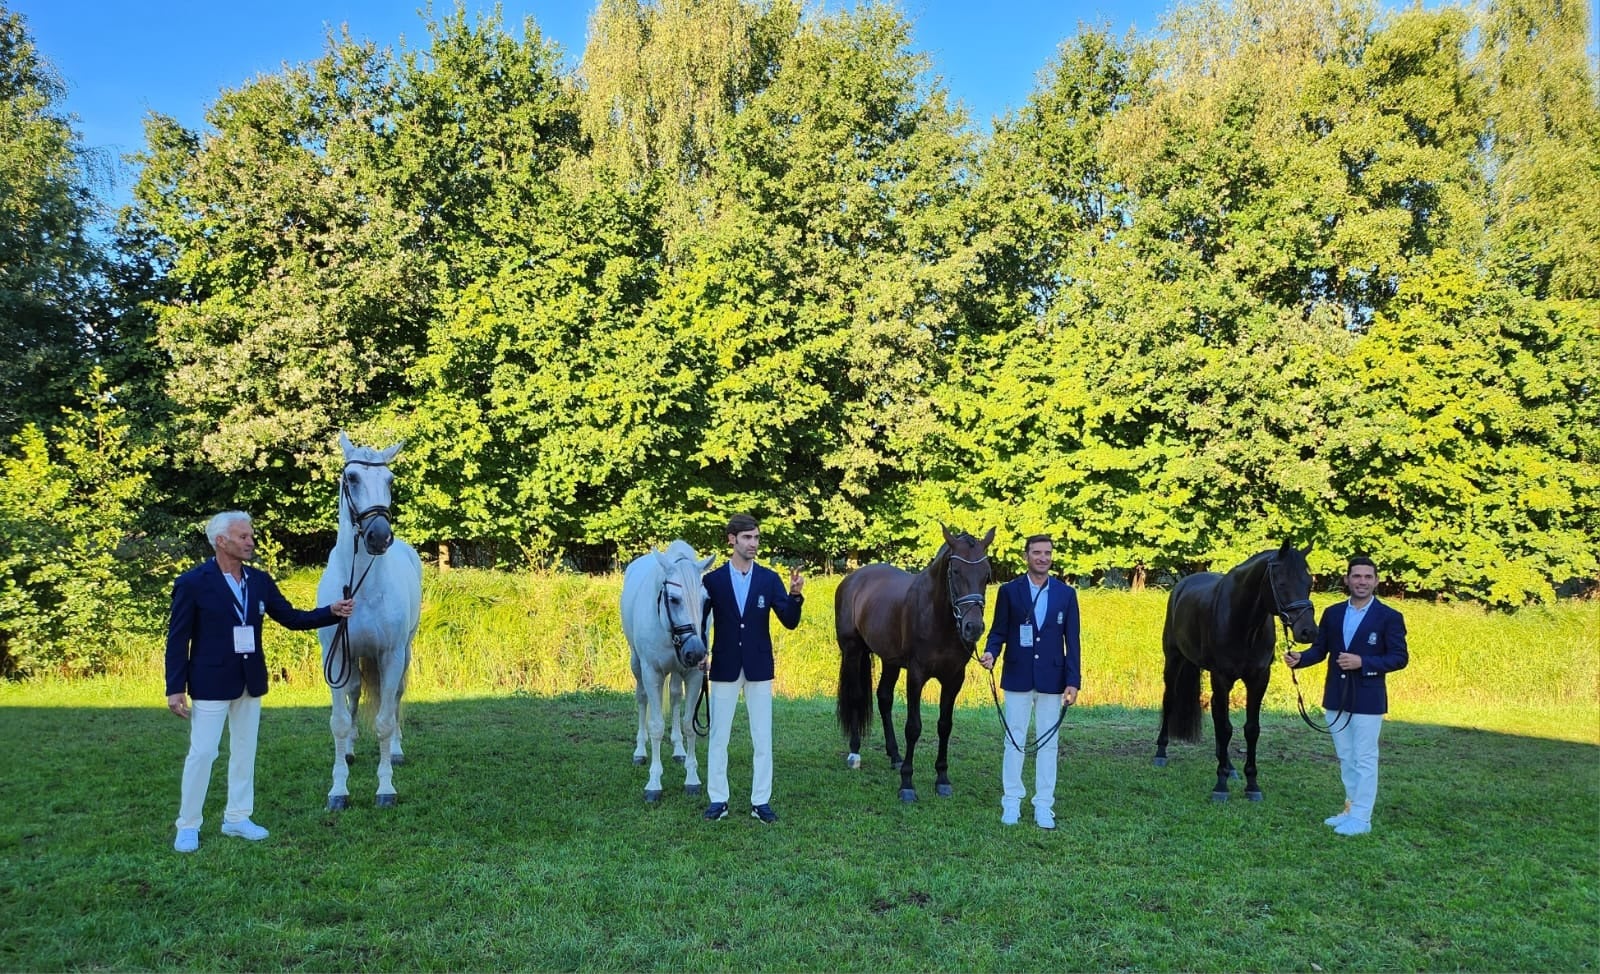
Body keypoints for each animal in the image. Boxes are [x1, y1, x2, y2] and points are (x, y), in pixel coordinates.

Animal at [313, 431, 419, 806]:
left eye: (390, 480)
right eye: (353, 478)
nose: (379, 536)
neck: (361, 587)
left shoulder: (390, 655)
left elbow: (386, 720)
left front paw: (386, 788)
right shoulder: (335, 656)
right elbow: (339, 721)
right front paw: (338, 790)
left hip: (404, 653)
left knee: (396, 697)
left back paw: (398, 751)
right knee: (355, 694)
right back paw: (349, 749)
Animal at [617, 540, 713, 796]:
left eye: (707, 601)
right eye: (674, 599)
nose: (696, 652)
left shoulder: (694, 674)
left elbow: (689, 724)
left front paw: (692, 779)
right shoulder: (652, 673)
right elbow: (656, 726)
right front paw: (654, 783)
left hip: (679, 671)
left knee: (676, 696)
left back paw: (679, 750)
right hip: (637, 665)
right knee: (642, 700)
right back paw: (640, 751)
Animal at [832, 527, 992, 802]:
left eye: (986, 574)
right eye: (956, 572)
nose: (973, 628)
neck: (937, 616)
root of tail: (852, 579)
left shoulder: (954, 678)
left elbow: (945, 726)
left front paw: (942, 779)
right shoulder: (916, 675)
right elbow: (913, 727)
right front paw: (907, 783)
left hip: (890, 661)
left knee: (884, 699)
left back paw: (895, 755)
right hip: (852, 651)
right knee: (855, 696)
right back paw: (855, 753)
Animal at [1158, 540, 1318, 796]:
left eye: (1309, 583)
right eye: (1281, 583)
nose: (1308, 631)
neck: (1244, 624)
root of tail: (1182, 586)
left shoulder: (1258, 679)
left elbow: (1250, 729)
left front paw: (1251, 784)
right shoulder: (1222, 678)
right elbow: (1225, 728)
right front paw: (1220, 785)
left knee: (1215, 711)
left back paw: (1229, 765)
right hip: (1174, 660)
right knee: (1170, 700)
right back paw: (1161, 752)